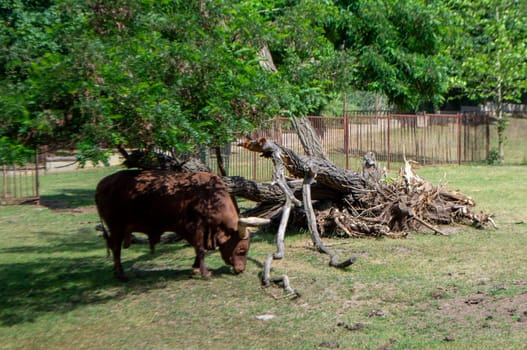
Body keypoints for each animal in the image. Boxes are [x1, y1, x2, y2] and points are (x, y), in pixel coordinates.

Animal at [94, 170, 268, 278]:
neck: (210, 196)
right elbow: (200, 249)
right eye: (241, 249)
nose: (241, 269)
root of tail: (104, 182)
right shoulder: (195, 228)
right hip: (116, 227)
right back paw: (121, 274)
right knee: (116, 249)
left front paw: (196, 268)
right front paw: (205, 273)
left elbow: (200, 249)